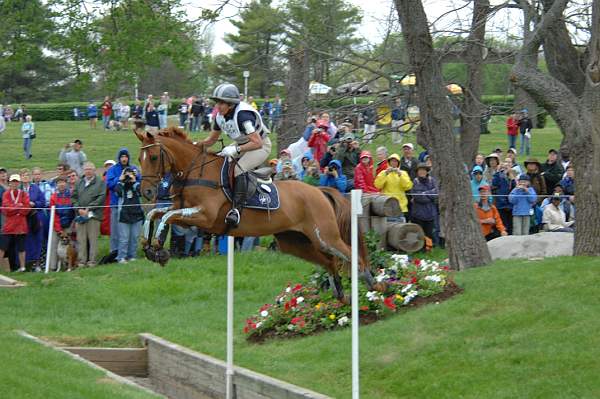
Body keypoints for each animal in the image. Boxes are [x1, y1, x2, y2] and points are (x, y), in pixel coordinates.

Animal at [135, 128, 380, 300]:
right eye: (139, 159)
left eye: (154, 158)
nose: (146, 192)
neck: (196, 172)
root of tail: (318, 190)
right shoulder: (184, 214)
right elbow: (155, 214)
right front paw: (150, 247)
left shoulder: (205, 216)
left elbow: (165, 217)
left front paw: (158, 247)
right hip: (294, 242)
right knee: (329, 261)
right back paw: (340, 294)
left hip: (325, 236)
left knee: (351, 256)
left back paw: (373, 284)